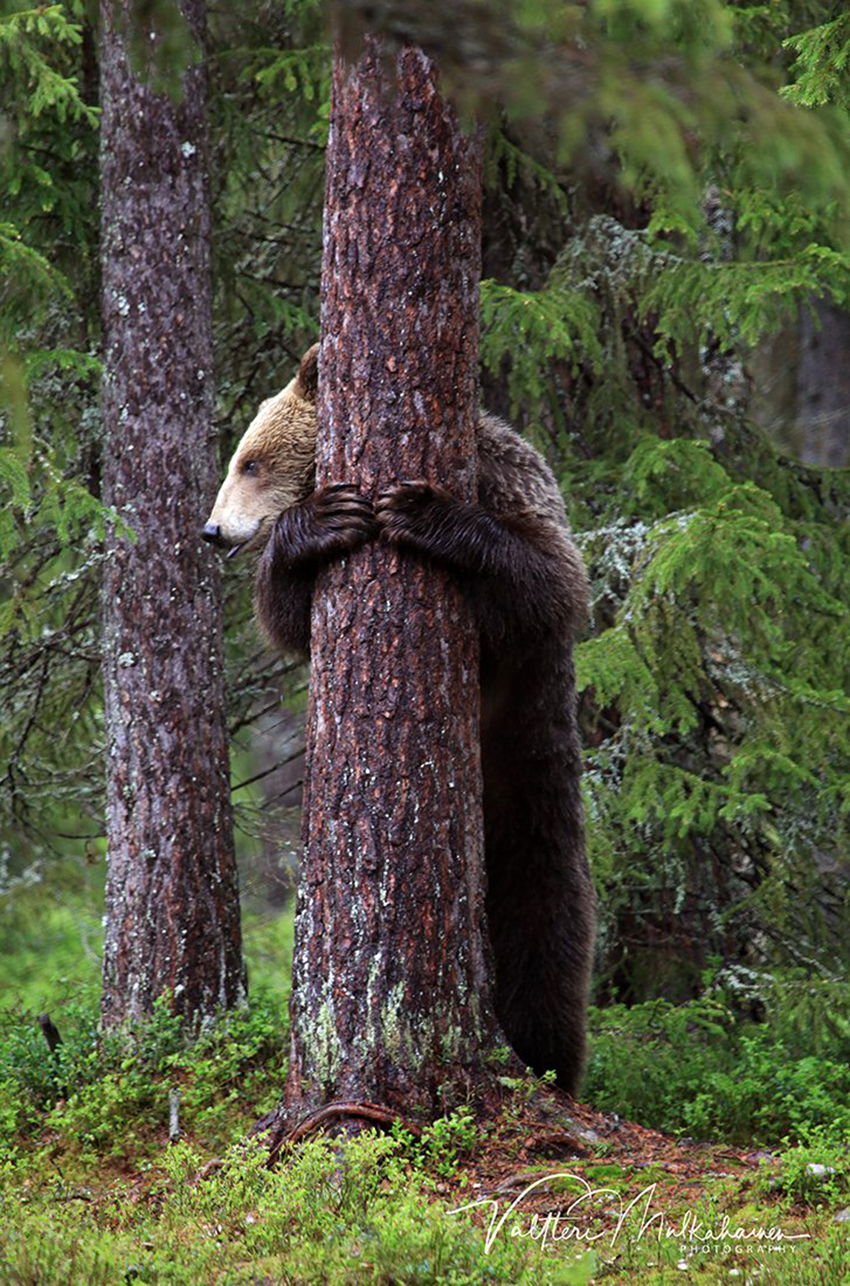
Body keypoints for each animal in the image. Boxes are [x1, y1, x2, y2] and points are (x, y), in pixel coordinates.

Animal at [201, 347, 594, 1090]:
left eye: (250, 462)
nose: (212, 531)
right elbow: (288, 615)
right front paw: (326, 518)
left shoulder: (518, 489)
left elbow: (549, 580)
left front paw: (419, 511)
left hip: (533, 755)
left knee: (546, 911)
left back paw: (545, 1053)